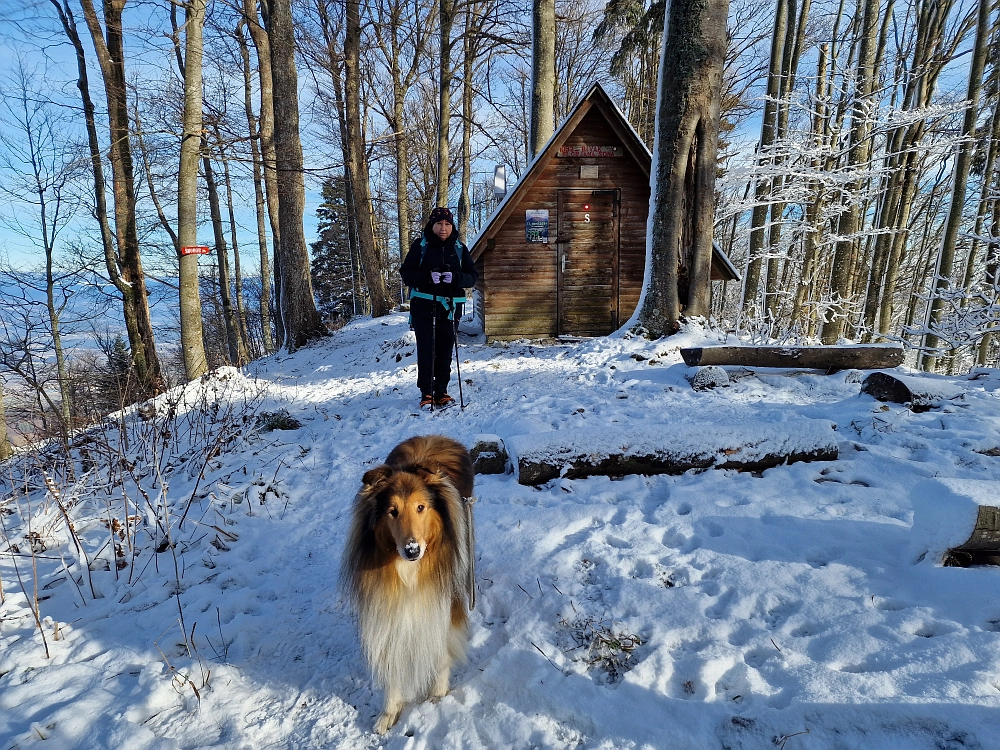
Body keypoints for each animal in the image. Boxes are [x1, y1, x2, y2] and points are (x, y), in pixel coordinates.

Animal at [342, 434, 474, 736]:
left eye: (420, 507)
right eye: (392, 512)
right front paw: (389, 712)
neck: (409, 572)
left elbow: (440, 648)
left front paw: (437, 695)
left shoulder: (444, 600)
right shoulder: (387, 611)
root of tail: (432, 436)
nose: (412, 550)